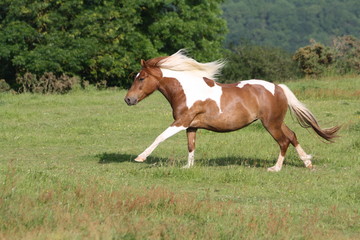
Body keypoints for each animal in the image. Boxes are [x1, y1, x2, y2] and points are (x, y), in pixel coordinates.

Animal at [124, 49, 340, 172]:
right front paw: (188, 167)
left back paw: (275, 168)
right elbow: (191, 146)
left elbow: (160, 137)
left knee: (284, 141)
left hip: (271, 124)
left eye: (141, 78)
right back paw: (308, 163)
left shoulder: (182, 122)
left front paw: (140, 157)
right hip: (277, 122)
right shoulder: (191, 126)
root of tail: (278, 87)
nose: (128, 99)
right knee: (293, 135)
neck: (186, 91)